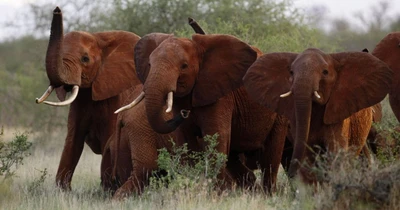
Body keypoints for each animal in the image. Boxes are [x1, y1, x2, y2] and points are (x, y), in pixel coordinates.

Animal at [34, 6, 141, 190]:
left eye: (85, 59)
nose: (57, 9)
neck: (98, 37)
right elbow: (73, 141)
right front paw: (63, 191)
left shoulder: (116, 97)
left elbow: (109, 140)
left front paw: (106, 189)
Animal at [120, 32, 290, 194]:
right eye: (149, 64)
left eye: (184, 66)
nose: (183, 113)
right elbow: (187, 143)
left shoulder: (220, 95)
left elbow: (216, 138)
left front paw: (216, 195)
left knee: (271, 158)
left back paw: (268, 194)